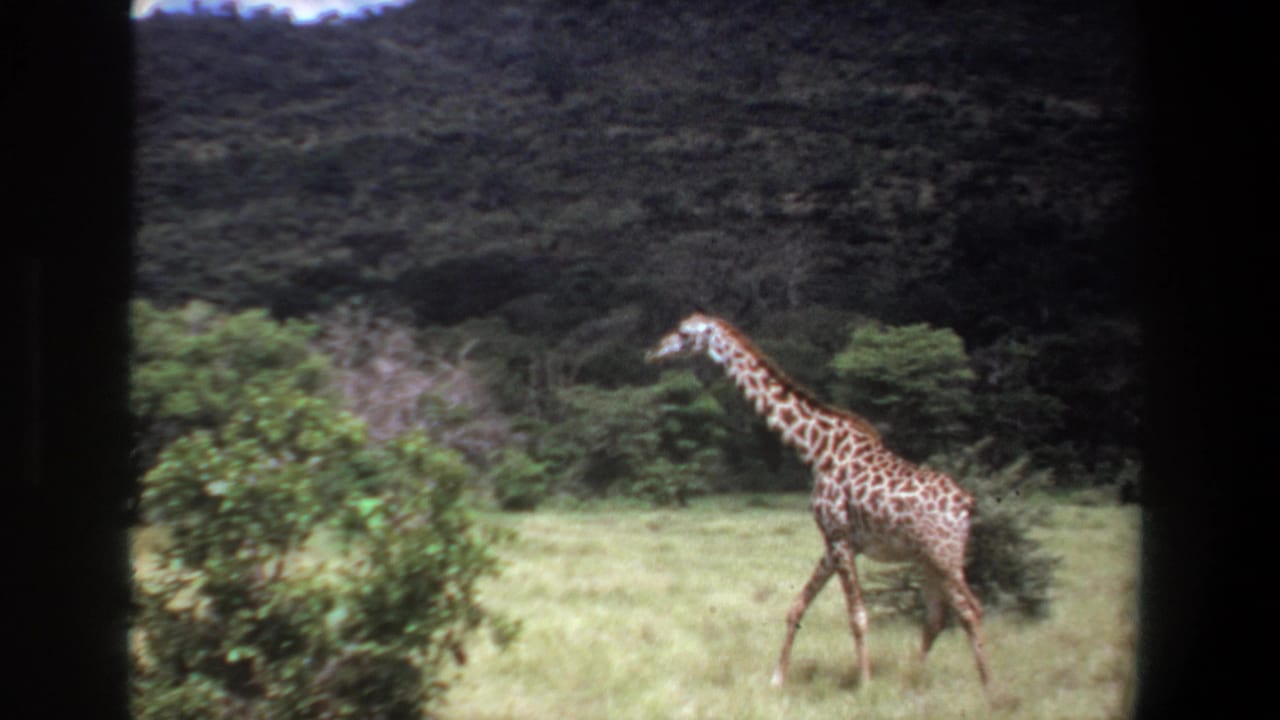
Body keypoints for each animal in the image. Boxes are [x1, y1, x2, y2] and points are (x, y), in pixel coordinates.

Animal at [645, 312, 989, 689]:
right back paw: (914, 677)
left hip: (945, 555)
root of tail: (966, 503)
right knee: (937, 617)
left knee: (970, 610)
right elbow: (797, 605)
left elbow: (858, 616)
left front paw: (865, 684)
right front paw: (777, 678)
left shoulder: (839, 536)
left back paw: (988, 689)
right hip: (926, 558)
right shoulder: (835, 541)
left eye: (683, 333)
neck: (815, 449)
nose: (654, 351)